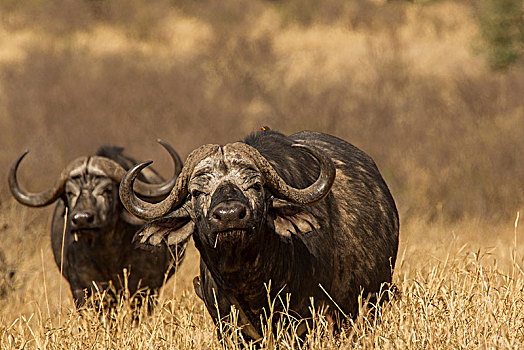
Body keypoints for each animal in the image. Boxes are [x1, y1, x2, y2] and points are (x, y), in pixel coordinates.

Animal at [9, 141, 187, 308]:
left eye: (106, 190)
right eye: (70, 193)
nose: (82, 218)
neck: (109, 254)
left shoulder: (147, 287)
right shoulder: (82, 287)